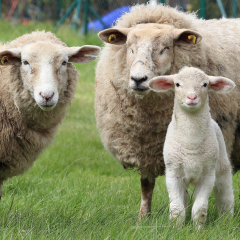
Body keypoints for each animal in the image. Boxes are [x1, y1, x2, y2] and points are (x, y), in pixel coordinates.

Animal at [148, 66, 234, 229]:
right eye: (177, 84)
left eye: (205, 84)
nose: (192, 97)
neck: (191, 144)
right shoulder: (173, 174)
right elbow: (177, 209)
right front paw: (176, 228)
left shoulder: (208, 175)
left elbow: (200, 208)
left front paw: (198, 229)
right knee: (185, 198)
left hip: (222, 168)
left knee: (225, 197)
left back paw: (226, 222)